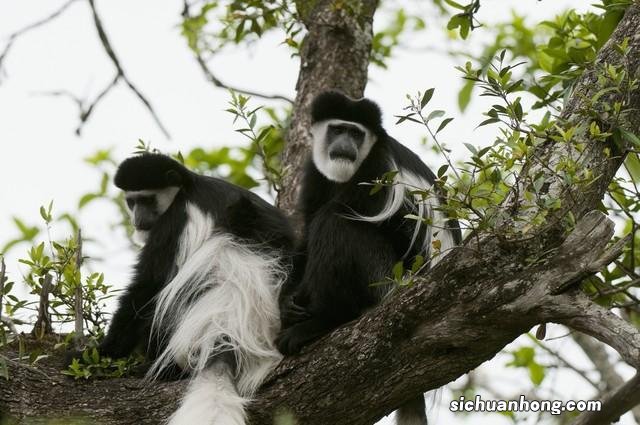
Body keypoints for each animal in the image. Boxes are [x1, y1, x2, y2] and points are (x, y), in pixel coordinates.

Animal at [101, 153, 294, 424]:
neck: (188, 187)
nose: (138, 220)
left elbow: (146, 288)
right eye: (132, 202)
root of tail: (228, 320)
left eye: (147, 200)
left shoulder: (172, 224)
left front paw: (98, 355)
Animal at [276, 91, 460, 422]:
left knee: (337, 222)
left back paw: (324, 322)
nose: (344, 146)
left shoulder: (379, 173)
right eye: (338, 129)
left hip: (387, 281)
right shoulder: (315, 173)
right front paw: (286, 302)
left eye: (356, 133)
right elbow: (307, 232)